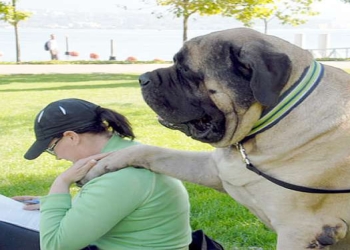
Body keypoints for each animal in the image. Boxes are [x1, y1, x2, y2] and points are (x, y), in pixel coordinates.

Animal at [82, 28, 350, 249]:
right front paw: (105, 162)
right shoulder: (217, 170)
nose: (142, 78)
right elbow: (154, 152)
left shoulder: (299, 230)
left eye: (185, 70)